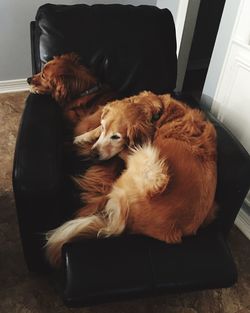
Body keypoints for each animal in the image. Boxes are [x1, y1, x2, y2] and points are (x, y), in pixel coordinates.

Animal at [45, 89, 217, 264]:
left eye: (116, 137)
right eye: (104, 127)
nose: (93, 154)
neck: (157, 114)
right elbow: (96, 129)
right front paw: (83, 136)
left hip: (150, 161)